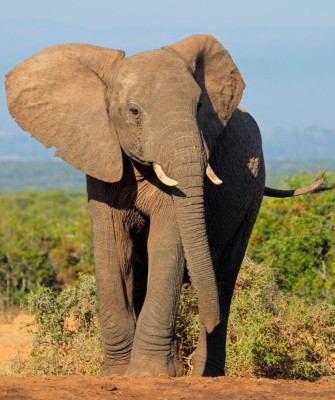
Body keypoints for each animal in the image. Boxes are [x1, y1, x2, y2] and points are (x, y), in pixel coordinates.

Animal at [3, 35, 326, 378]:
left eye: (199, 106)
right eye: (133, 111)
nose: (206, 320)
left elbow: (167, 244)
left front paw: (148, 374)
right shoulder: (102, 158)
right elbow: (113, 250)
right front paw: (118, 374)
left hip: (252, 192)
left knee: (225, 275)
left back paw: (204, 374)